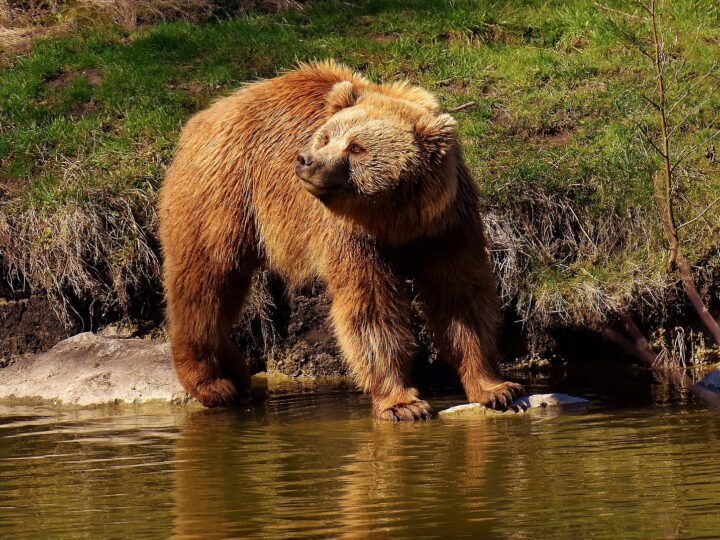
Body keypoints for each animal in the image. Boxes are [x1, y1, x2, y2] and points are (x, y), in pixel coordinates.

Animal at [159, 60, 524, 422]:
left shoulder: (445, 225)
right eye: (326, 136)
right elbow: (370, 307)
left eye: (356, 147)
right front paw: (402, 403)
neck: (395, 218)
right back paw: (210, 382)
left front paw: (496, 388)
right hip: (224, 194)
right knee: (206, 282)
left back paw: (235, 371)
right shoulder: (352, 235)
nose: (306, 160)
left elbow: (461, 296)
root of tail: (203, 116)